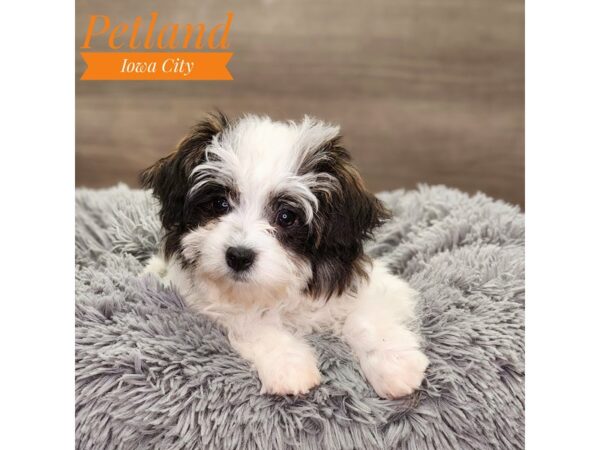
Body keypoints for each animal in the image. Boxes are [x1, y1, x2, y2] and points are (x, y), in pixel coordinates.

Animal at [142, 112, 428, 398]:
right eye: (219, 204)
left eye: (286, 216)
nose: (239, 256)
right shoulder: (200, 302)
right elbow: (248, 321)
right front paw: (288, 364)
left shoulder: (374, 283)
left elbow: (364, 312)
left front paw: (394, 363)